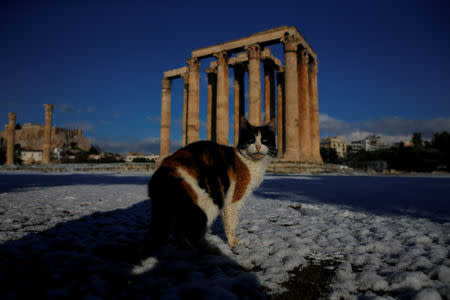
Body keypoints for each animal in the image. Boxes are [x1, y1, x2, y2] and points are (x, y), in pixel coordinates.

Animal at [146, 117, 276, 251]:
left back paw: (186, 247)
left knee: (178, 229)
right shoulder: (233, 200)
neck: (249, 162)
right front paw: (233, 243)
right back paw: (210, 248)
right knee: (194, 233)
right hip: (208, 203)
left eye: (264, 140)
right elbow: (232, 222)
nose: (258, 146)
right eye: (251, 140)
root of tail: (161, 172)